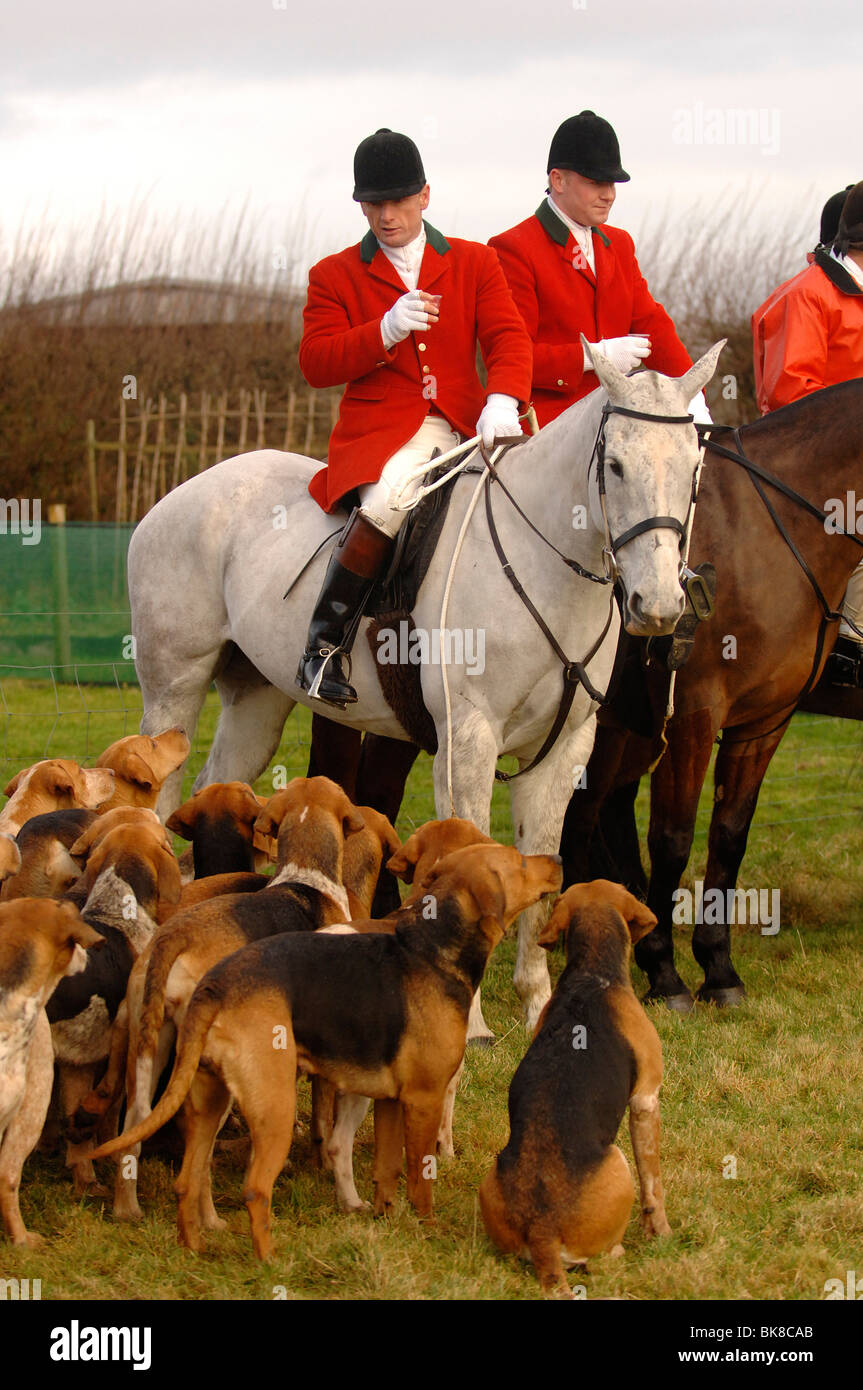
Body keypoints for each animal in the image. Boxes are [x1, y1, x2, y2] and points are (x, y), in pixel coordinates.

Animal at [129, 341, 722, 1028]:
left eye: (694, 467)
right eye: (618, 466)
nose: (658, 605)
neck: (545, 564)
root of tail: (180, 494)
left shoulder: (565, 749)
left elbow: (545, 865)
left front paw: (537, 1005)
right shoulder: (468, 741)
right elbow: (470, 858)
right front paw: (473, 1019)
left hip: (255, 706)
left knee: (213, 788)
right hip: (174, 690)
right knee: (159, 801)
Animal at [558, 378, 861, 1011]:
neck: (770, 534)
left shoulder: (764, 721)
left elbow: (728, 836)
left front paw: (718, 968)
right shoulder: (692, 718)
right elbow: (673, 839)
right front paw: (667, 974)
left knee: (595, 816)